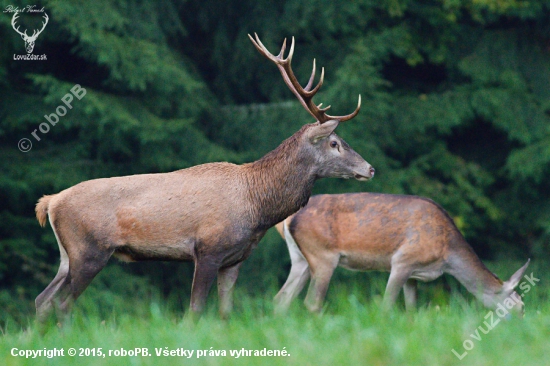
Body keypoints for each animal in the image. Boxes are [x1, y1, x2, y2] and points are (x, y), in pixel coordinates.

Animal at [34, 34, 378, 324]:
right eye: (335, 143)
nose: (370, 168)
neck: (257, 207)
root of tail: (50, 203)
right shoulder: (207, 249)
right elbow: (195, 310)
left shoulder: (235, 259)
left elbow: (226, 312)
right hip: (89, 250)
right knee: (61, 304)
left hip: (68, 255)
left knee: (42, 299)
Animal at [274, 193, 532, 316]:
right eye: (519, 306)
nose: (520, 325)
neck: (446, 255)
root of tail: (287, 220)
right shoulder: (402, 261)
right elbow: (387, 304)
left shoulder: (413, 275)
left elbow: (411, 309)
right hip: (323, 255)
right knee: (311, 302)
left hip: (300, 259)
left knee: (282, 298)